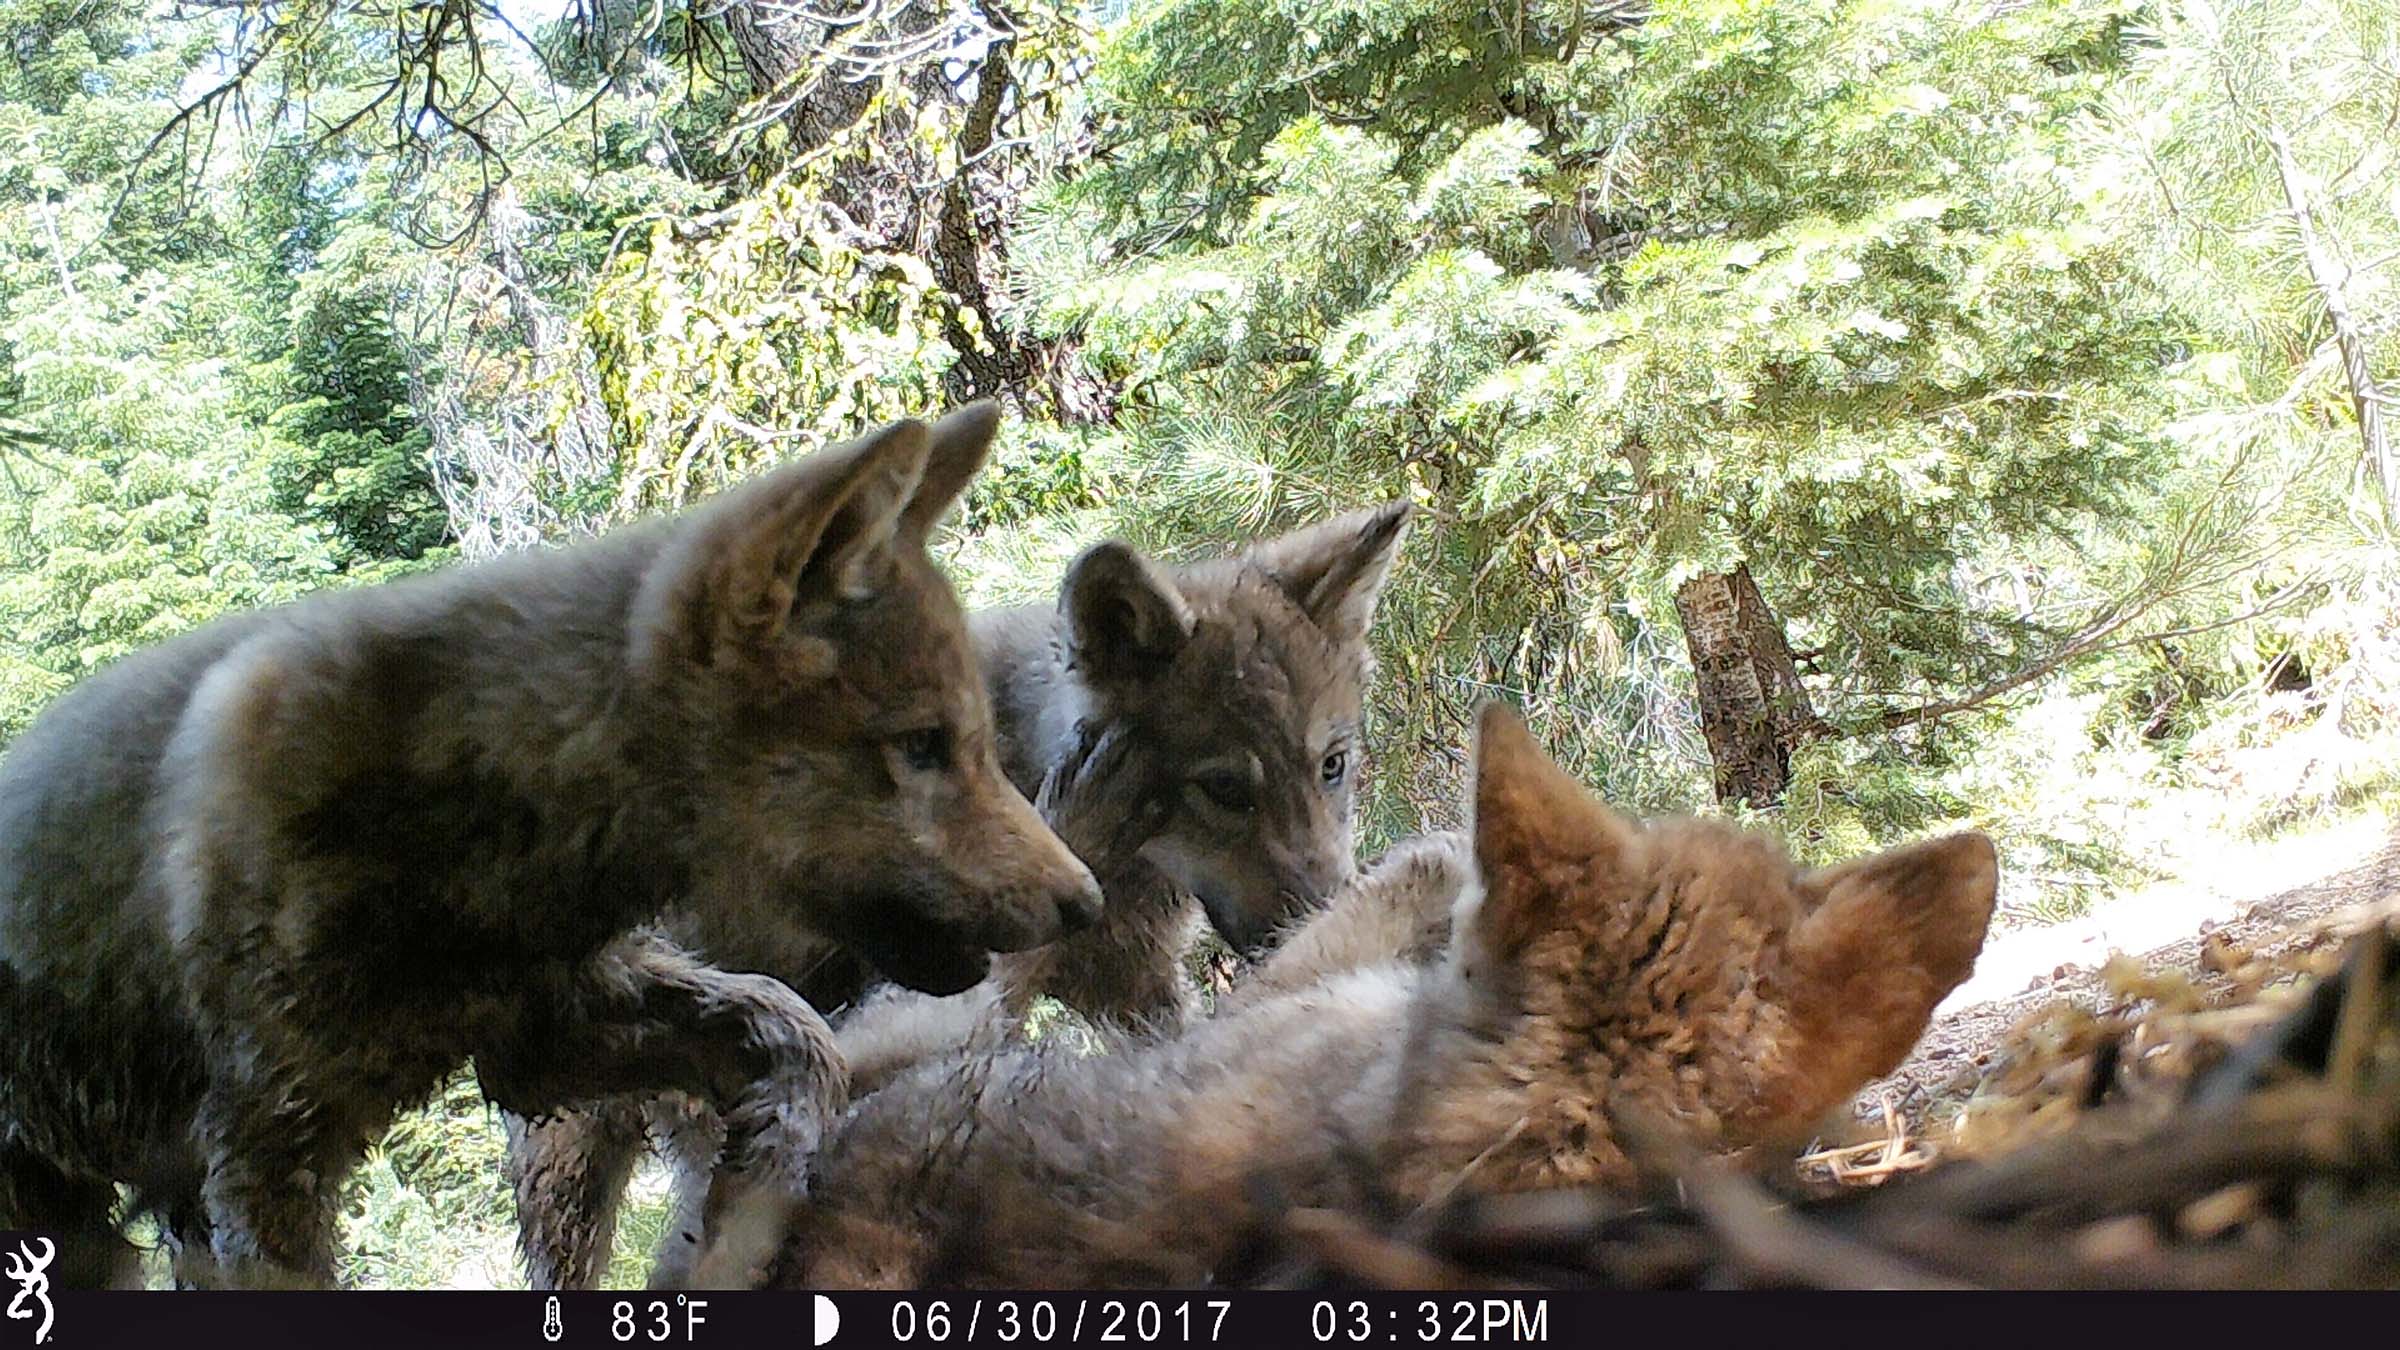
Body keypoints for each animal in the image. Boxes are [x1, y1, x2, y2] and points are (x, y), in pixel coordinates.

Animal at [0, 404, 1101, 1289]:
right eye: (921, 747)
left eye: (978, 744)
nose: (1086, 903)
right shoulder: (264, 1155)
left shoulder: (547, 1035)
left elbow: (798, 1041)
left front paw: (739, 1219)